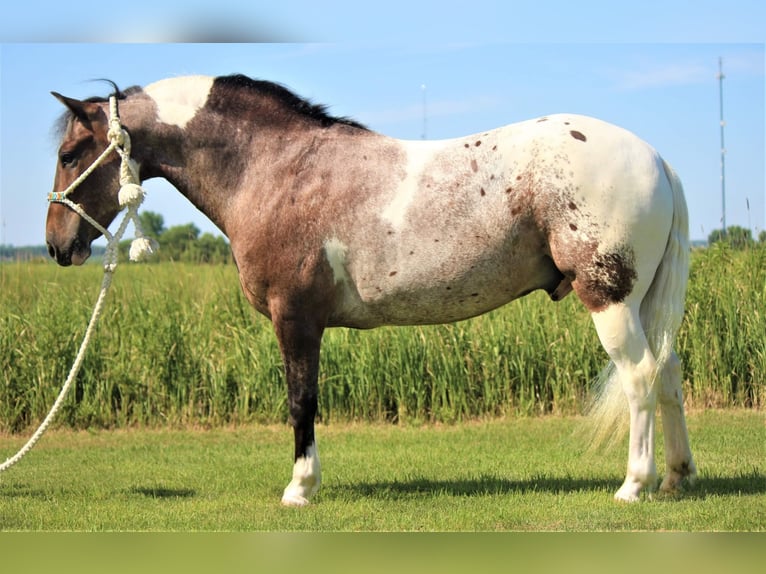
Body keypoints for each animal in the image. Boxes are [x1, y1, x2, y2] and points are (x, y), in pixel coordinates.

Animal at [45, 73, 700, 508]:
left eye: (71, 153)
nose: (56, 244)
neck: (276, 169)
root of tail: (657, 158)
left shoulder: (294, 319)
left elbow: (301, 402)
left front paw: (300, 489)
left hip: (610, 300)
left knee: (640, 377)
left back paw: (634, 485)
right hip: (642, 303)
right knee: (668, 373)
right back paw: (675, 476)